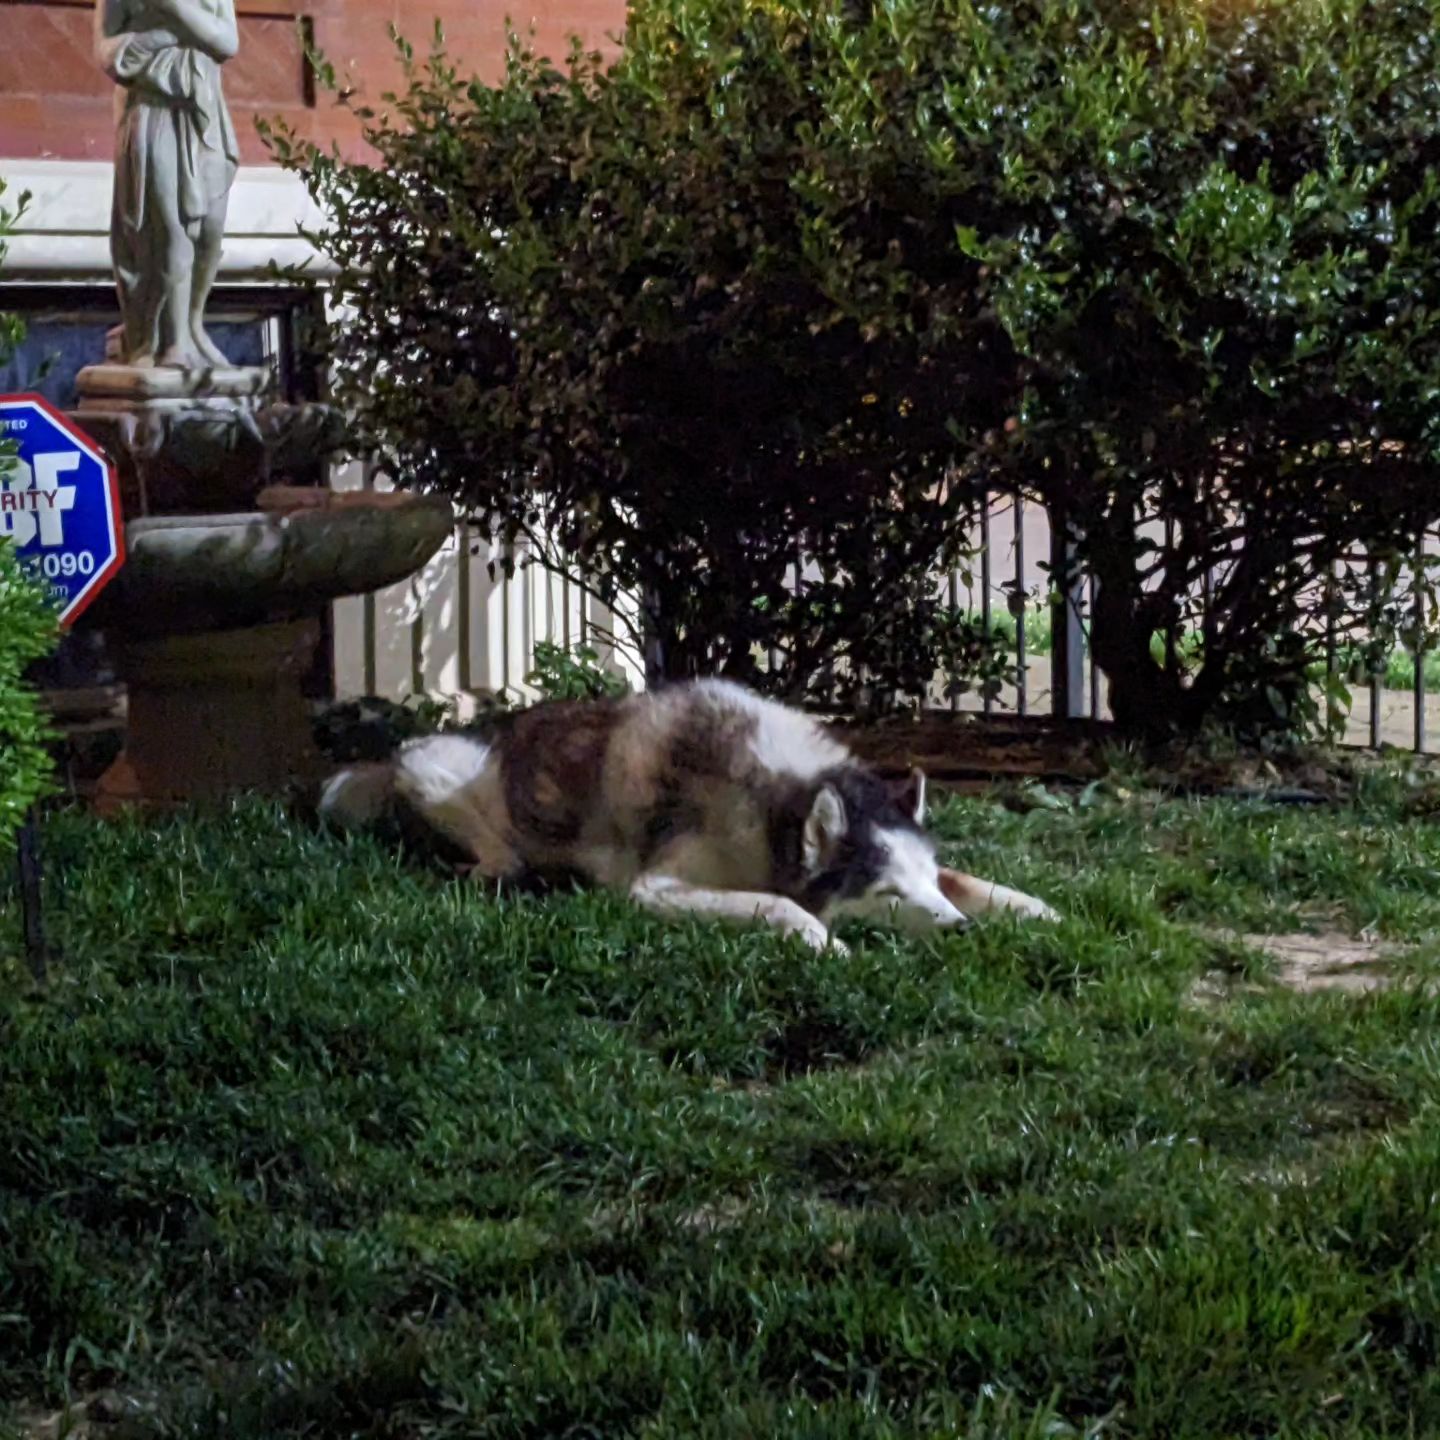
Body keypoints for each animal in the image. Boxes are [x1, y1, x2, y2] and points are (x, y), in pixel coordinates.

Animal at [318, 679, 1059, 950]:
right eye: (886, 893)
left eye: (924, 881)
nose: (961, 933)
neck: (774, 802)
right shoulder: (656, 888)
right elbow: (782, 906)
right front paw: (825, 941)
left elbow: (978, 881)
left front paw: (1037, 911)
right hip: (430, 763)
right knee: (499, 852)